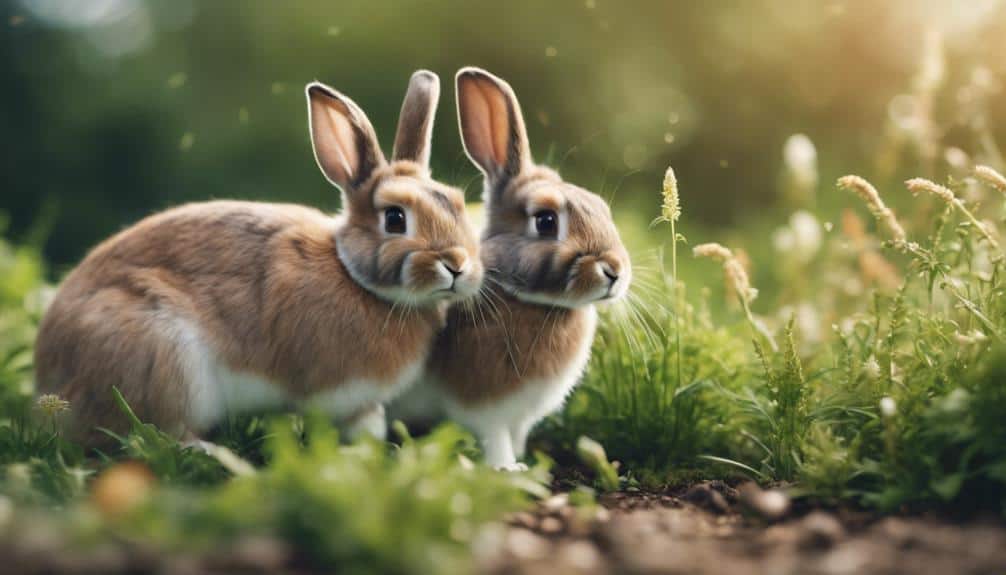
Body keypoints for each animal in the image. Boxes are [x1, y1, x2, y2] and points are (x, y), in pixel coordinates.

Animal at [33, 70, 483, 447]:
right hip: (165, 363)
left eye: (458, 204)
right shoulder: (335, 393)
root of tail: (50, 379)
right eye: (394, 218)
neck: (356, 279)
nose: (457, 265)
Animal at [392, 68, 631, 470]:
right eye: (546, 221)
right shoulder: (484, 403)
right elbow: (495, 436)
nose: (615, 270)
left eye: (601, 208)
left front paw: (523, 463)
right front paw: (508, 469)